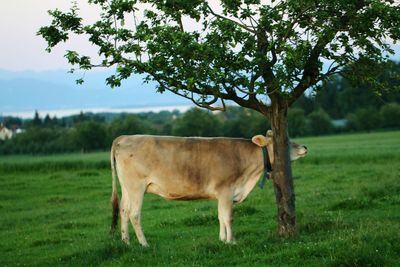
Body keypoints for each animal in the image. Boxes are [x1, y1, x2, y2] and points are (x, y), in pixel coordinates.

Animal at [111, 131, 308, 247]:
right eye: (286, 141)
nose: (305, 147)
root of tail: (124, 137)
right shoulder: (226, 190)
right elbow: (228, 217)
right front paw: (231, 241)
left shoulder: (222, 195)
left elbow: (220, 216)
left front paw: (222, 239)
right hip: (136, 187)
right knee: (134, 214)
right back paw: (144, 244)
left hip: (127, 188)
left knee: (123, 210)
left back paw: (126, 242)